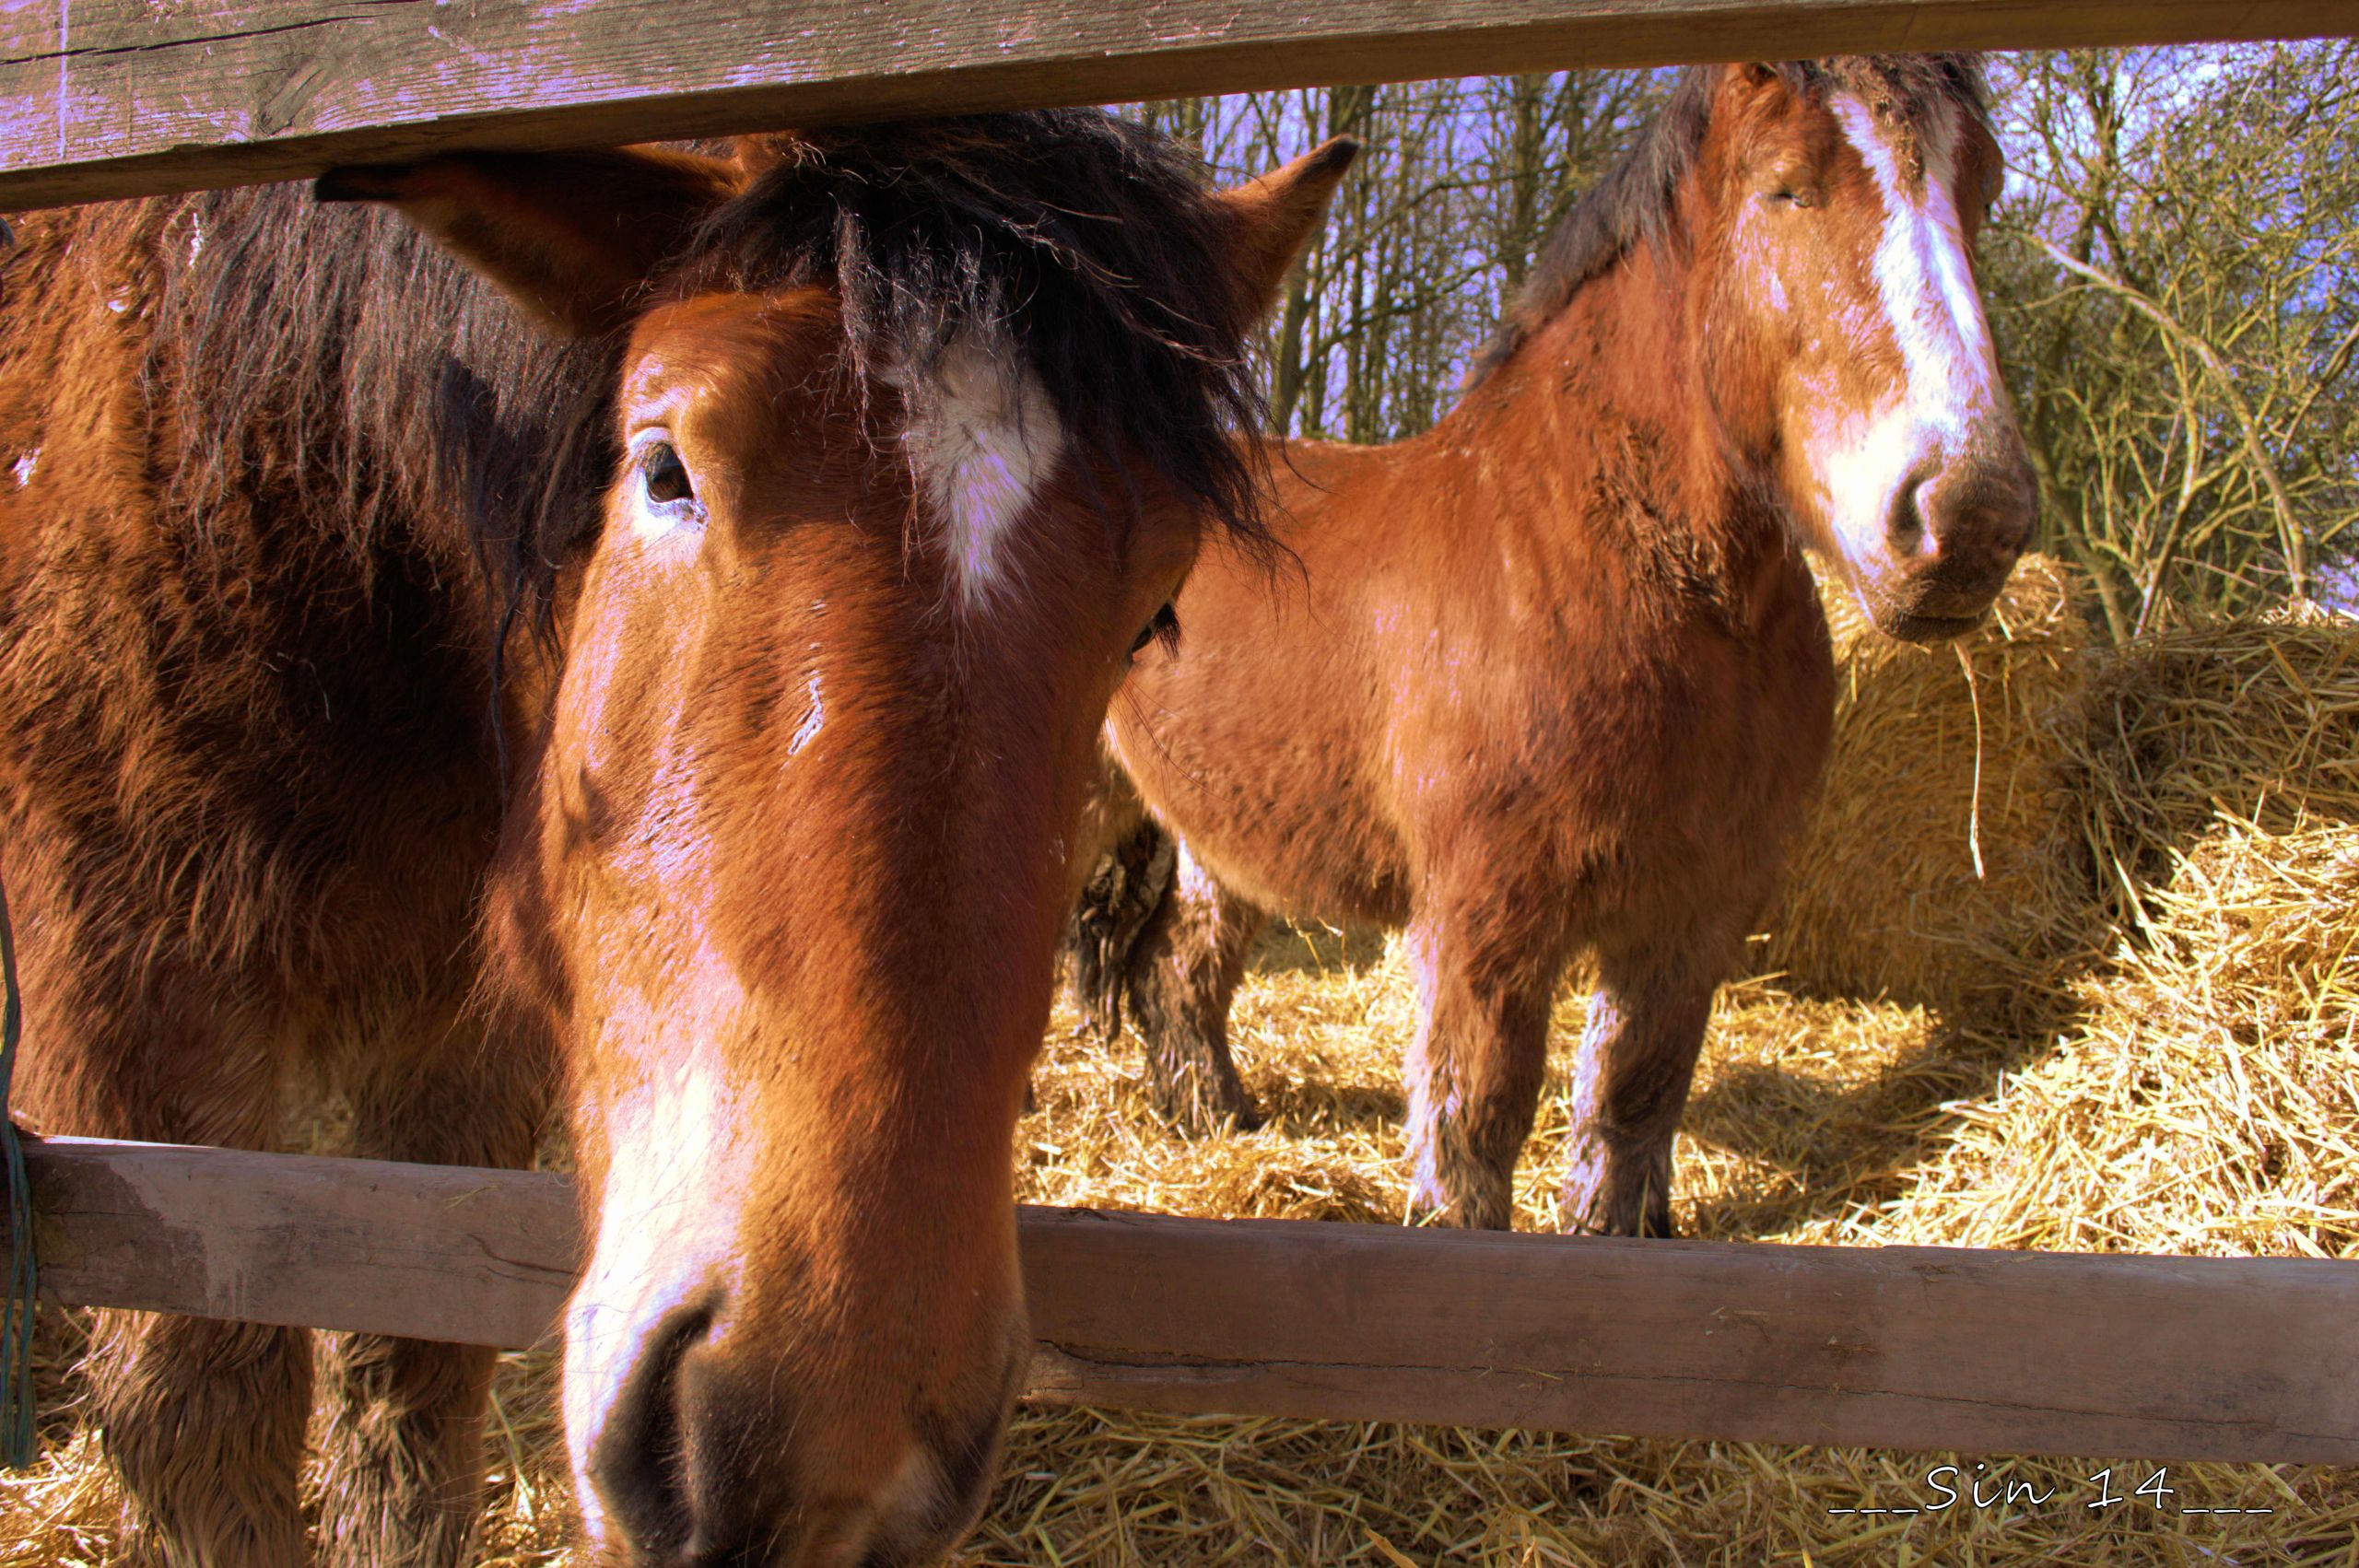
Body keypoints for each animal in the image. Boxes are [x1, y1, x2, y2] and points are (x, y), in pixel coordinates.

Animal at [0, 119, 1358, 1565]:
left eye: (1152, 612)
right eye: (663, 469)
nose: (832, 1456)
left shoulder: (458, 1032)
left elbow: (409, 1384)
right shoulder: (132, 1005)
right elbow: (205, 1404)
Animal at [1080, 54, 2037, 1235]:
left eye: (1980, 189)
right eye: (1785, 188)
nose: (1969, 518)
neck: (1614, 563)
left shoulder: (1691, 913)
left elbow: (1630, 1101)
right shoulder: (1487, 923)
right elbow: (1476, 1121)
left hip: (1220, 843)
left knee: (1180, 974)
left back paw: (1218, 1129)